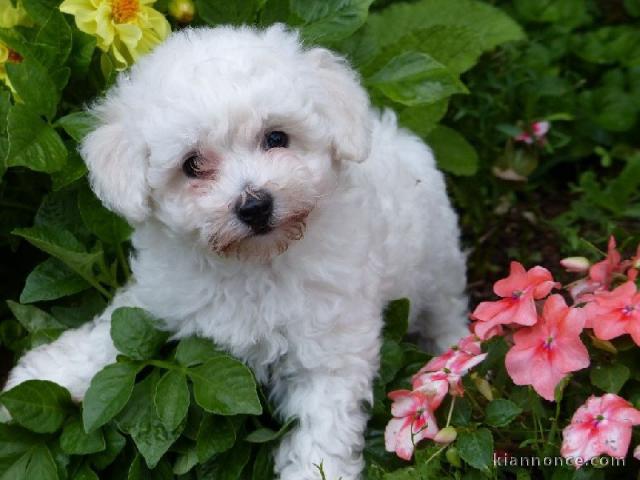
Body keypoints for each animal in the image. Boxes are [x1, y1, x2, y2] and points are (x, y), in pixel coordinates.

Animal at [3, 25, 464, 480]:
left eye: (276, 137)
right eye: (192, 165)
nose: (255, 205)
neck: (253, 263)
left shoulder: (330, 349)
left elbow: (322, 432)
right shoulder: (160, 294)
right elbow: (107, 335)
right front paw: (42, 377)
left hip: (438, 261)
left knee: (447, 310)